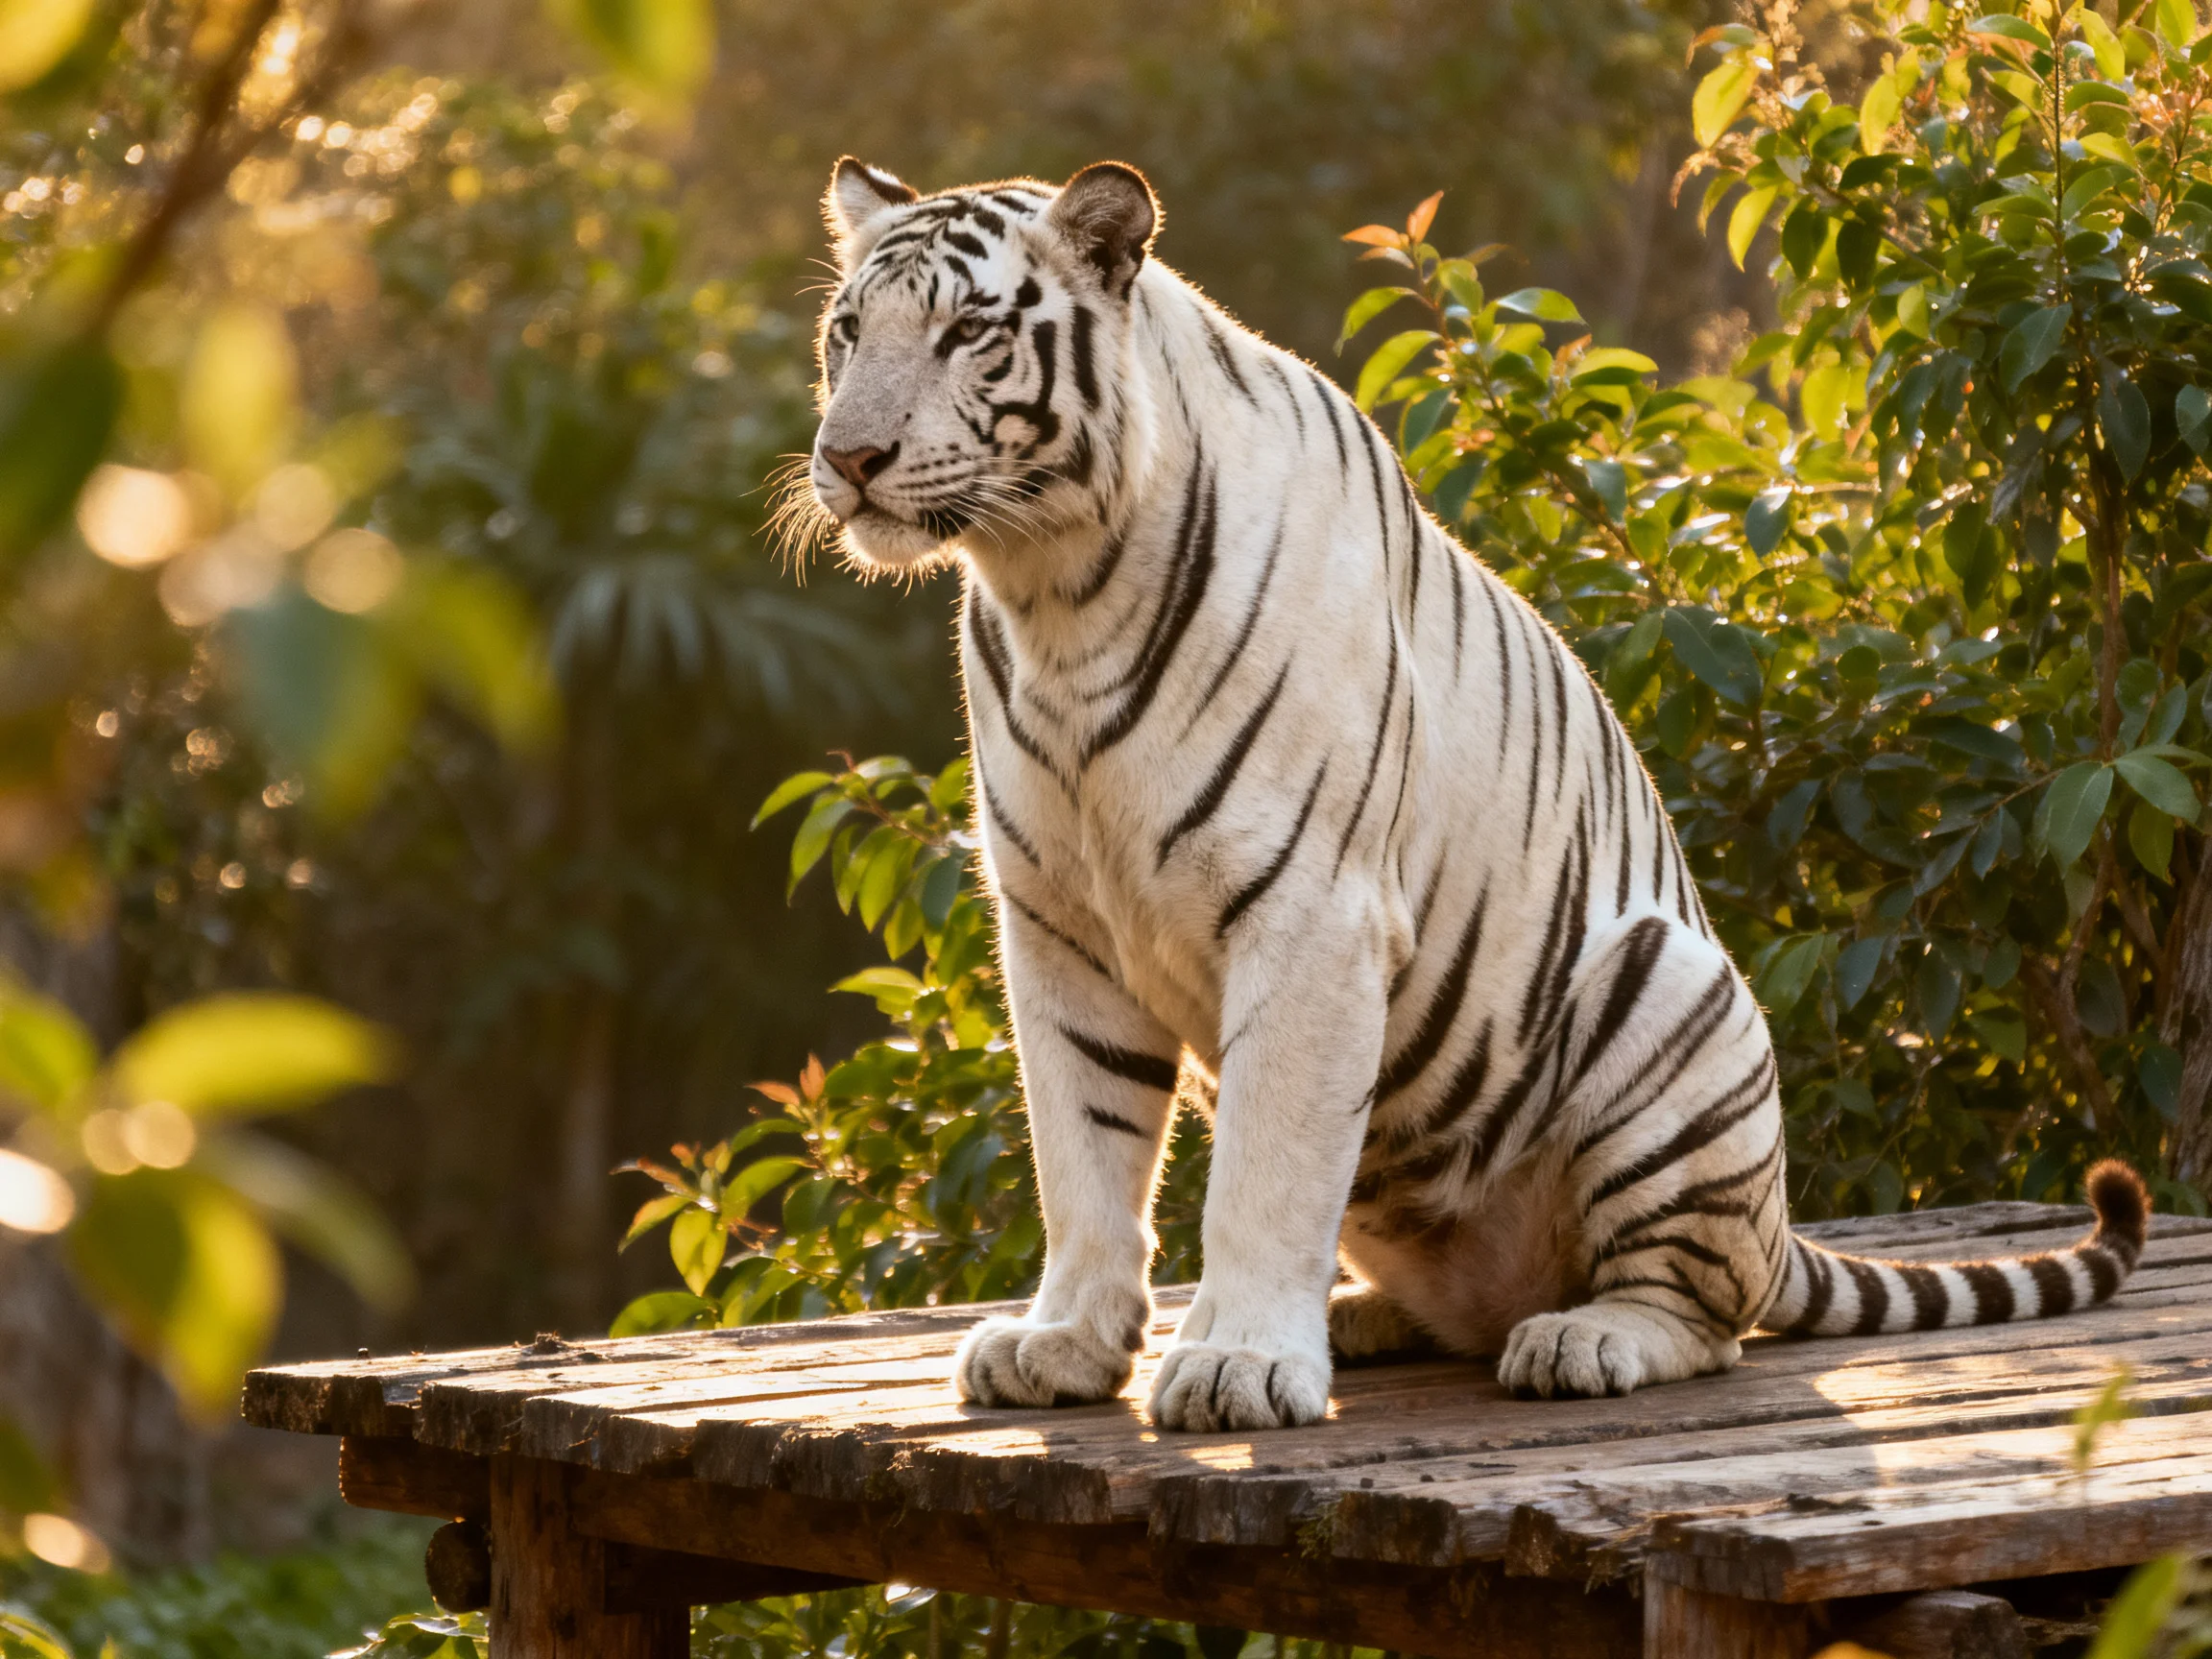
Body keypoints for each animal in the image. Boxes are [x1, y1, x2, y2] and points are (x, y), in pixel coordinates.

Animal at [799, 154, 2152, 1431]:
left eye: (968, 333)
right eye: (850, 333)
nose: (848, 459)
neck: (1055, 591)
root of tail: (1780, 1229)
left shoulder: (1310, 912)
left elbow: (1264, 1173)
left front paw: (1239, 1365)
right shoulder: (1058, 925)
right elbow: (1083, 1151)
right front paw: (1065, 1344)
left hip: (1670, 994)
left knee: (1703, 1313)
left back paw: (1581, 1342)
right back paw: (1369, 1320)